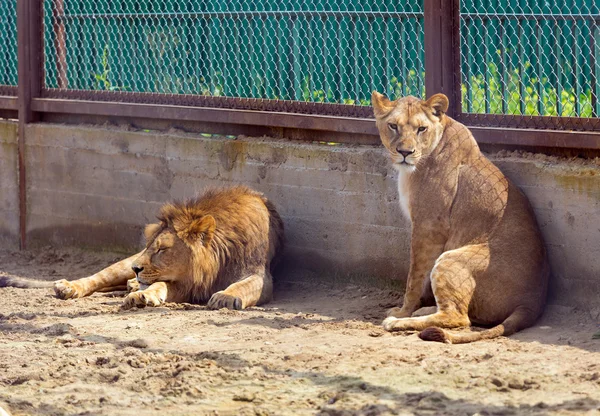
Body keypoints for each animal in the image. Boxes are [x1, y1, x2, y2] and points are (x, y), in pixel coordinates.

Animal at [1, 187, 284, 310]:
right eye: (149, 247)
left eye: (161, 250)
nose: (137, 268)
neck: (214, 265)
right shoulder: (186, 283)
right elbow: (160, 285)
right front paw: (143, 296)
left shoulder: (261, 276)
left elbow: (242, 286)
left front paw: (224, 296)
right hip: (119, 267)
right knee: (95, 279)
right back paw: (69, 287)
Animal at [372, 92, 552, 342]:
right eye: (393, 126)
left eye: (421, 129)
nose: (405, 153)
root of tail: (531, 302)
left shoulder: (428, 226)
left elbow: (414, 278)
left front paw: (402, 311)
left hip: (451, 259)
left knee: (458, 317)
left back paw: (399, 322)